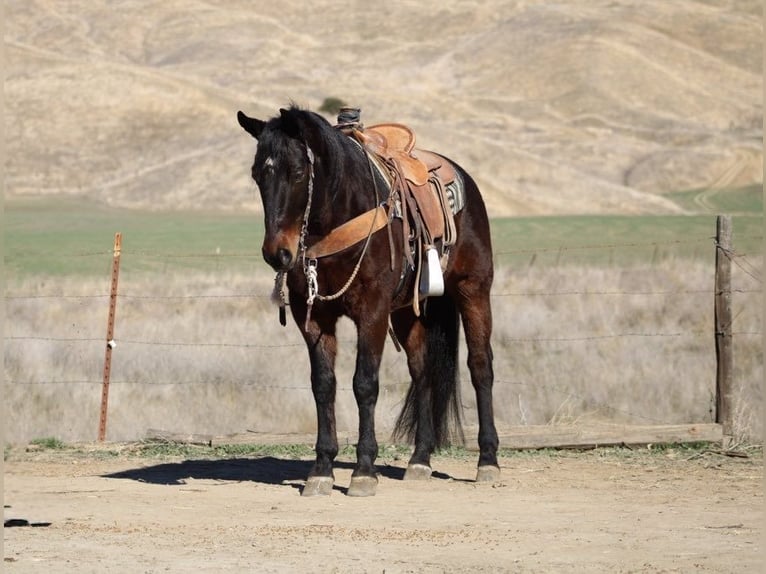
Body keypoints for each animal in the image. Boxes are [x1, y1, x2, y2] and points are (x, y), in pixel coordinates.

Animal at [237, 105, 499, 496]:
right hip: (408, 312)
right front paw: (321, 469)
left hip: (474, 290)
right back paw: (420, 460)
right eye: (257, 175)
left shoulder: (372, 311)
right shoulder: (312, 317)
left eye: (297, 172)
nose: (277, 253)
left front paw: (363, 470)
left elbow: (364, 383)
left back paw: (488, 460)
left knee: (481, 367)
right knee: (423, 371)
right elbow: (323, 385)